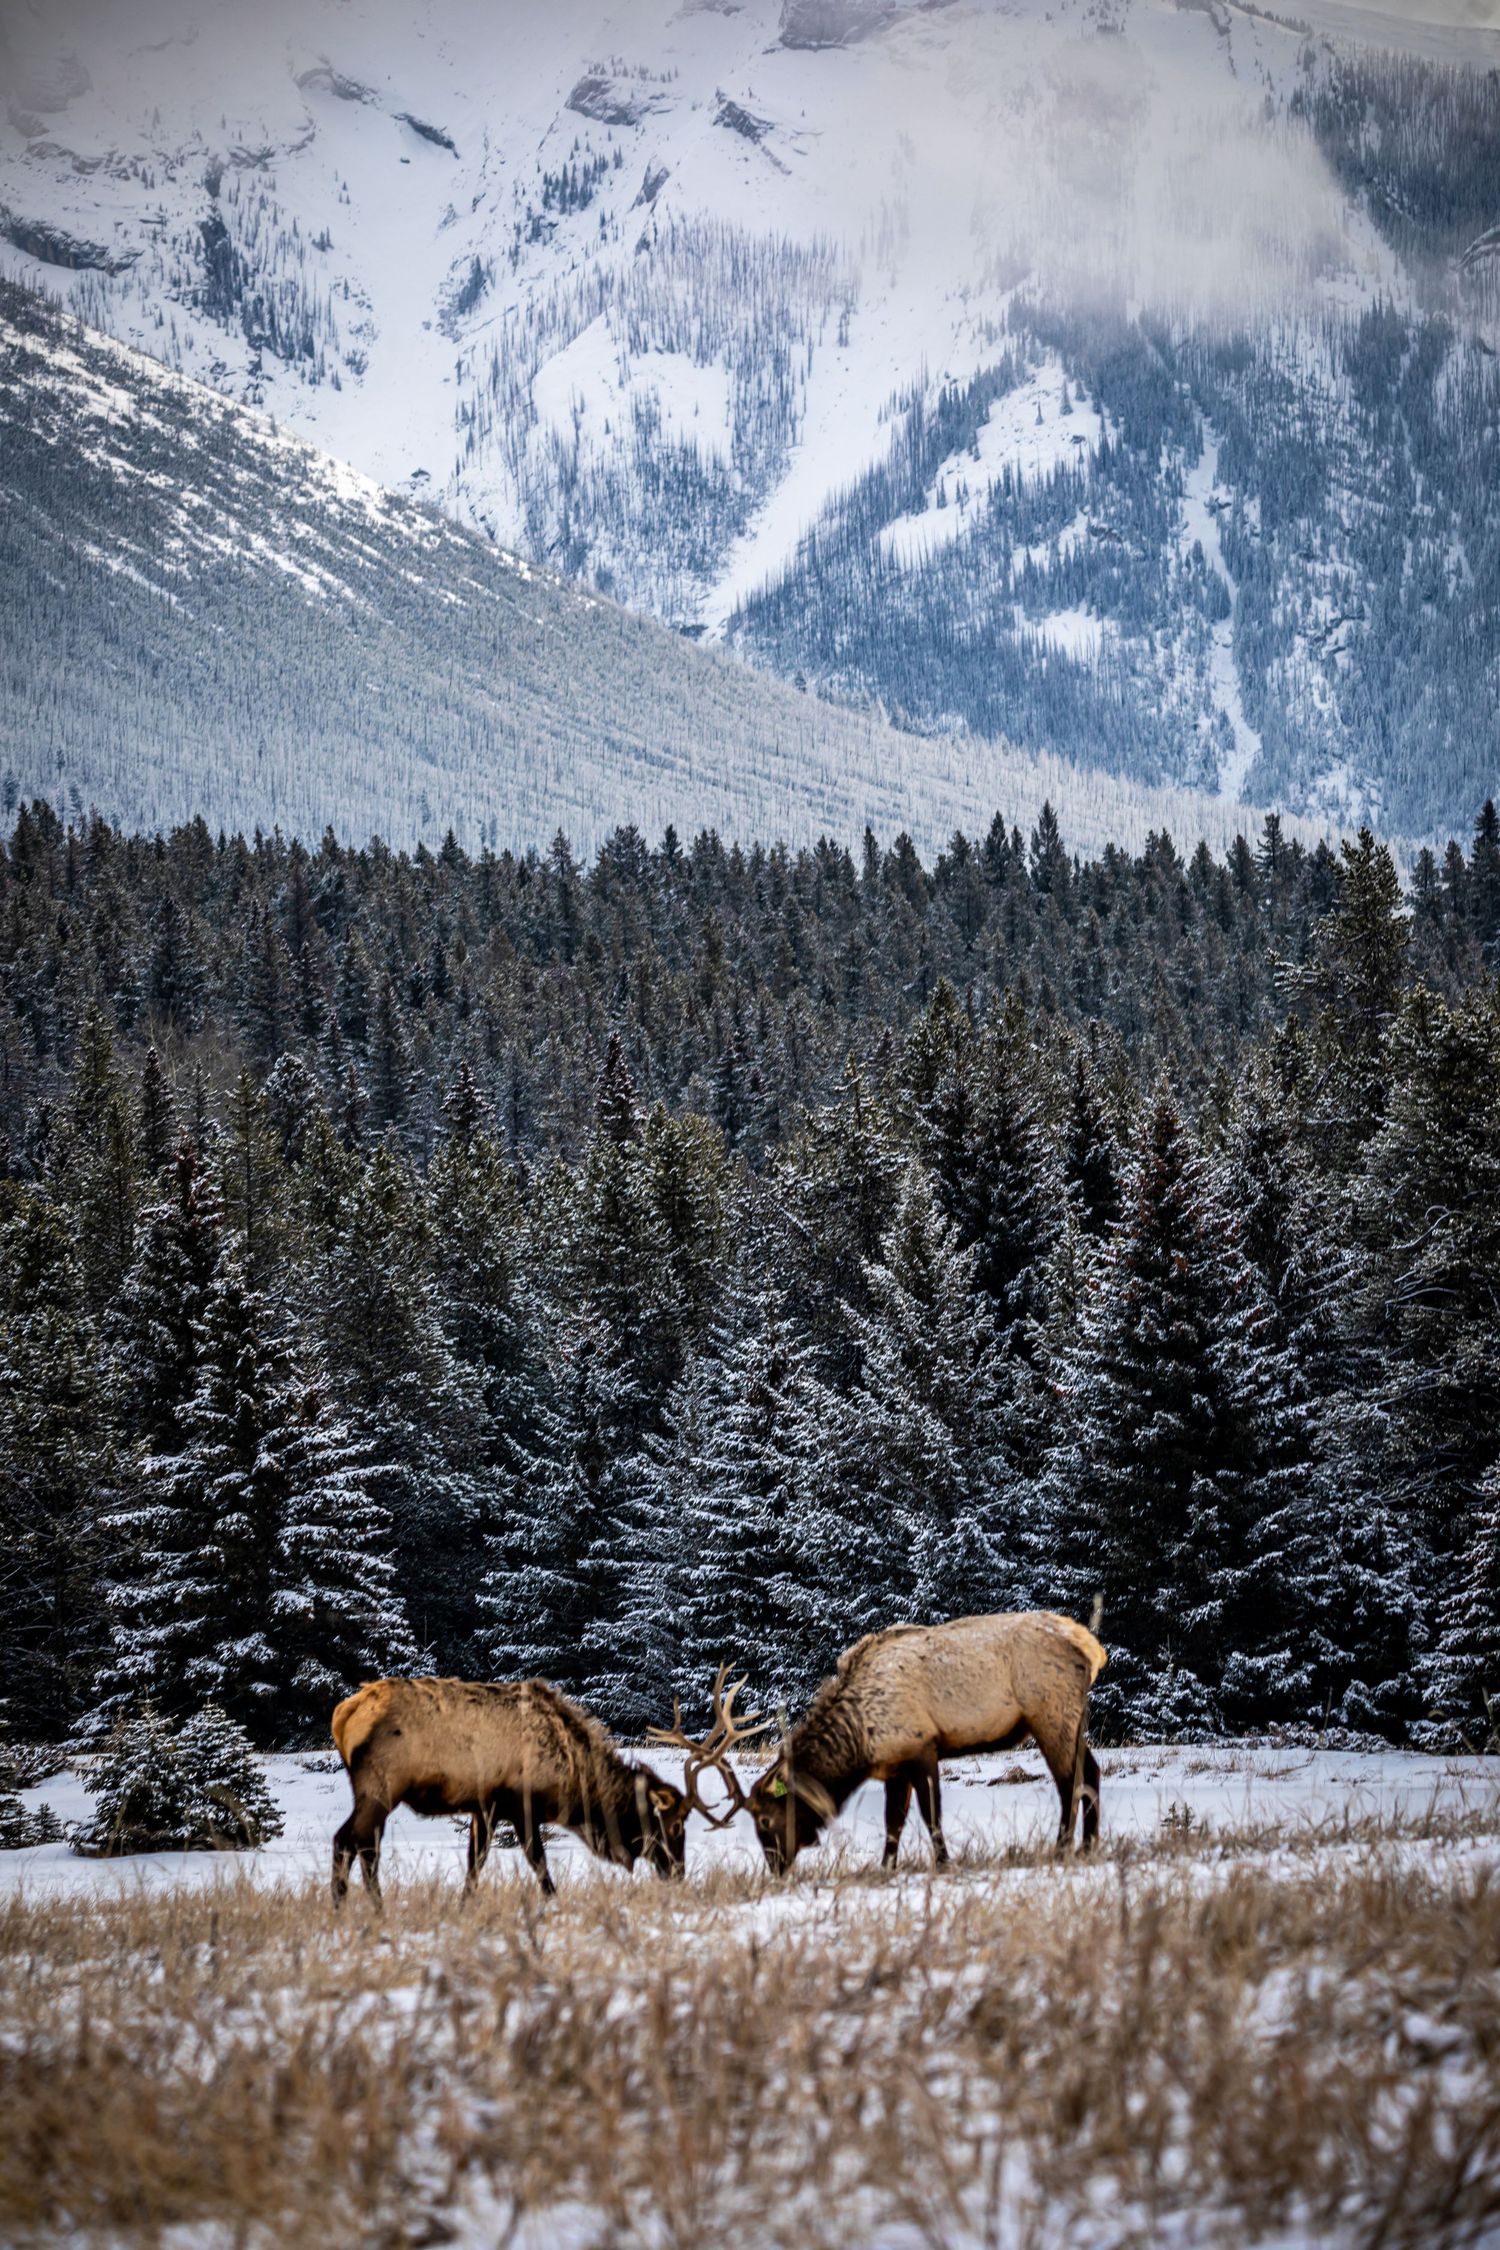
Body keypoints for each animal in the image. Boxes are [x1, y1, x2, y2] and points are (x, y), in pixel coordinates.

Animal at [330, 1675, 693, 1903]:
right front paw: (553, 1902)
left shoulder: (484, 1807)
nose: (678, 1872)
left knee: (359, 1844)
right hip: (381, 1786)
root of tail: (343, 1715)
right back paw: (360, 1907)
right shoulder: (521, 1804)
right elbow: (538, 1861)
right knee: (351, 1841)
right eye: (675, 1824)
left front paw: (465, 1904)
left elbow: (475, 1862)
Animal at [662, 1613, 1107, 1875]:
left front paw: (944, 1863)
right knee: (1090, 1772)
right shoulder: (894, 1766)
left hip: (1050, 1713)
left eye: (767, 1821)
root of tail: (1090, 1648)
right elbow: (894, 1821)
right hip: (1069, 1718)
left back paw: (1066, 1847)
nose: (775, 1867)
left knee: (1070, 1781)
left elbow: (931, 1815)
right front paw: (886, 1867)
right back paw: (1088, 1845)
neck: (859, 1744)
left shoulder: (921, 1746)